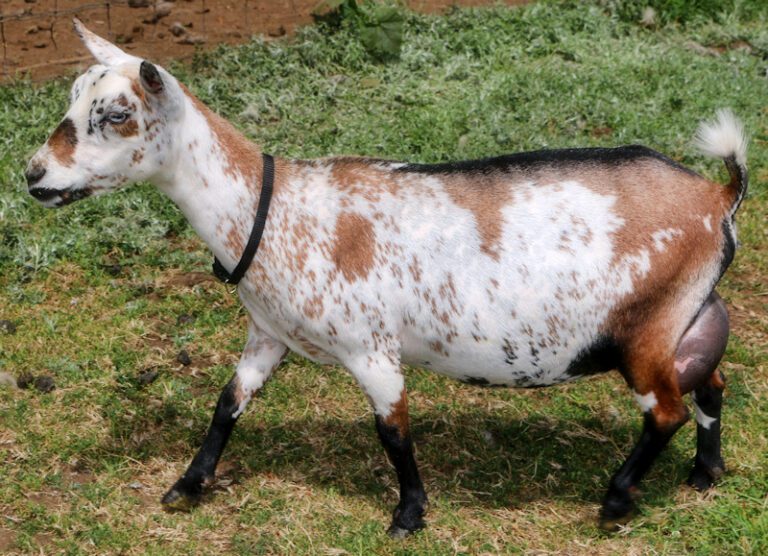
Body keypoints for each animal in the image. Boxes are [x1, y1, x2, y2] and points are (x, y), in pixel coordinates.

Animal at [24, 20, 746, 537]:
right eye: (74, 101)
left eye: (115, 114)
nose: (33, 175)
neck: (273, 210)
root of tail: (716, 196)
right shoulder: (268, 334)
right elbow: (229, 403)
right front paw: (186, 486)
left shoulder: (370, 346)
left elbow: (392, 429)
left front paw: (408, 515)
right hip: (689, 311)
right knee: (709, 379)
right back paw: (705, 473)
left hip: (644, 325)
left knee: (667, 408)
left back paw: (617, 500)